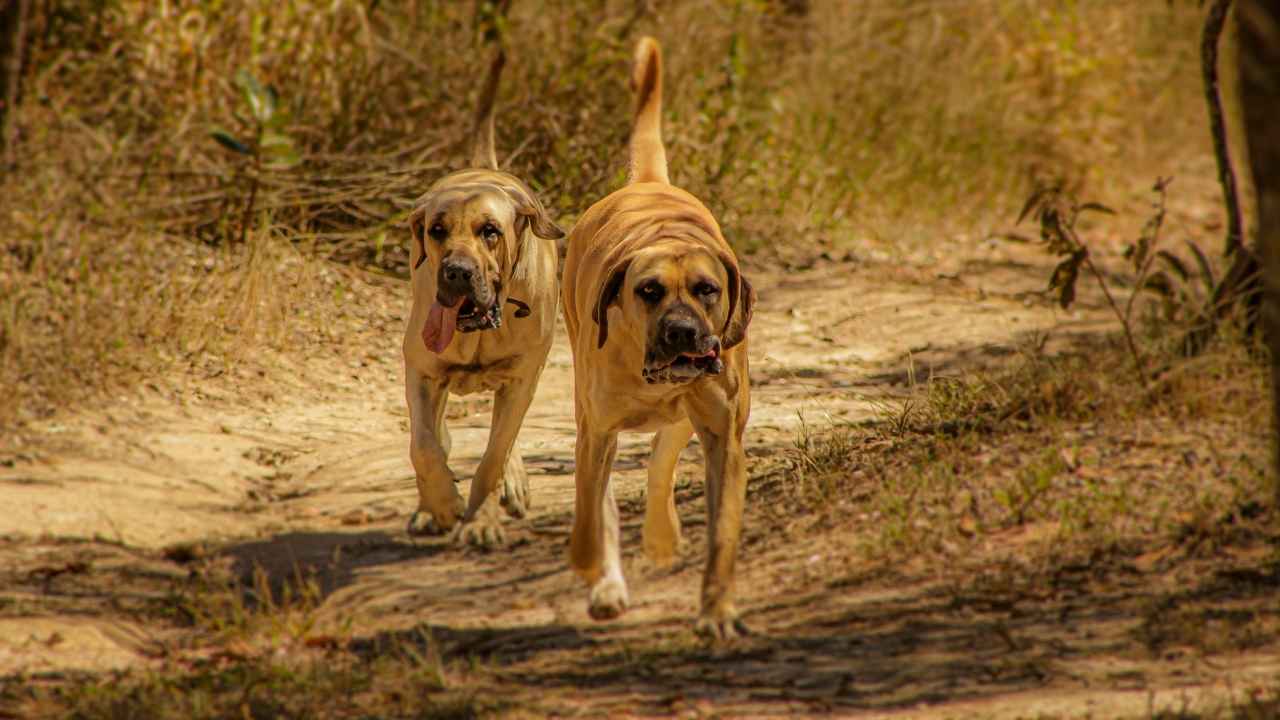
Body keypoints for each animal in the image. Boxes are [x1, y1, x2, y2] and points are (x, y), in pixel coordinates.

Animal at [396, 43, 563, 548]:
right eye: (436, 230)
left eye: (490, 231)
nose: (456, 272)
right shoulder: (422, 372)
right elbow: (424, 446)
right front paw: (443, 505)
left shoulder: (523, 377)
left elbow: (493, 455)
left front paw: (482, 519)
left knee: (503, 439)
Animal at [560, 36, 747, 635]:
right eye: (648, 291)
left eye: (708, 289)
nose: (684, 331)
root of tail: (647, 184)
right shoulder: (596, 431)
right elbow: (592, 514)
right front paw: (592, 566)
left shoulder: (724, 437)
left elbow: (722, 533)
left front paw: (716, 609)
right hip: (589, 413)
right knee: (601, 497)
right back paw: (606, 578)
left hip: (692, 412)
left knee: (665, 452)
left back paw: (662, 535)